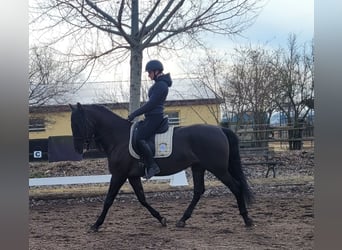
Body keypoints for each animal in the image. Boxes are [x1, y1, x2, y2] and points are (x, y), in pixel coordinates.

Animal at [69, 102, 254, 231]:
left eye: (79, 124)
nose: (77, 149)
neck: (118, 137)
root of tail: (220, 130)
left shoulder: (119, 175)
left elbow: (108, 200)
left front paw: (96, 225)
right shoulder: (132, 175)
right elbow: (142, 199)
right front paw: (161, 218)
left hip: (218, 169)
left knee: (236, 187)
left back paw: (247, 220)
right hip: (198, 167)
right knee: (198, 191)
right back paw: (182, 220)